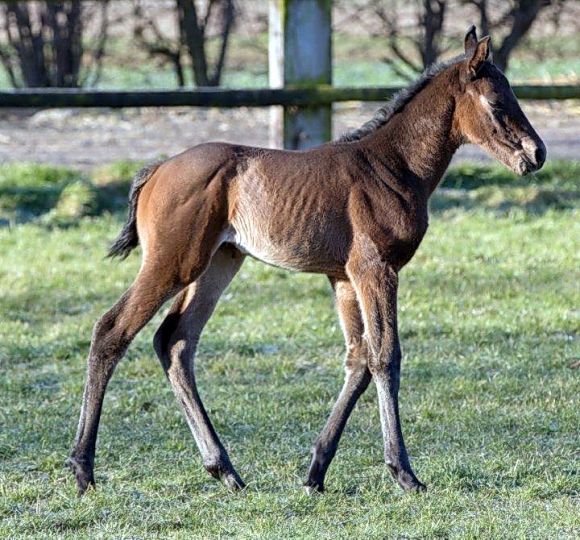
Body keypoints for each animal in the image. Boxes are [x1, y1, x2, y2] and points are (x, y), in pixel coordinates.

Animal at [67, 27, 544, 496]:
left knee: (175, 342)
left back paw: (226, 470)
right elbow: (385, 356)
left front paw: (316, 471)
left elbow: (358, 359)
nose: (536, 153)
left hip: (219, 262)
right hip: (175, 262)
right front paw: (404, 472)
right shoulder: (375, 269)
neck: (392, 166)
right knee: (112, 330)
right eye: (497, 102)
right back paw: (83, 468)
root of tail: (157, 169)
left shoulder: (344, 278)